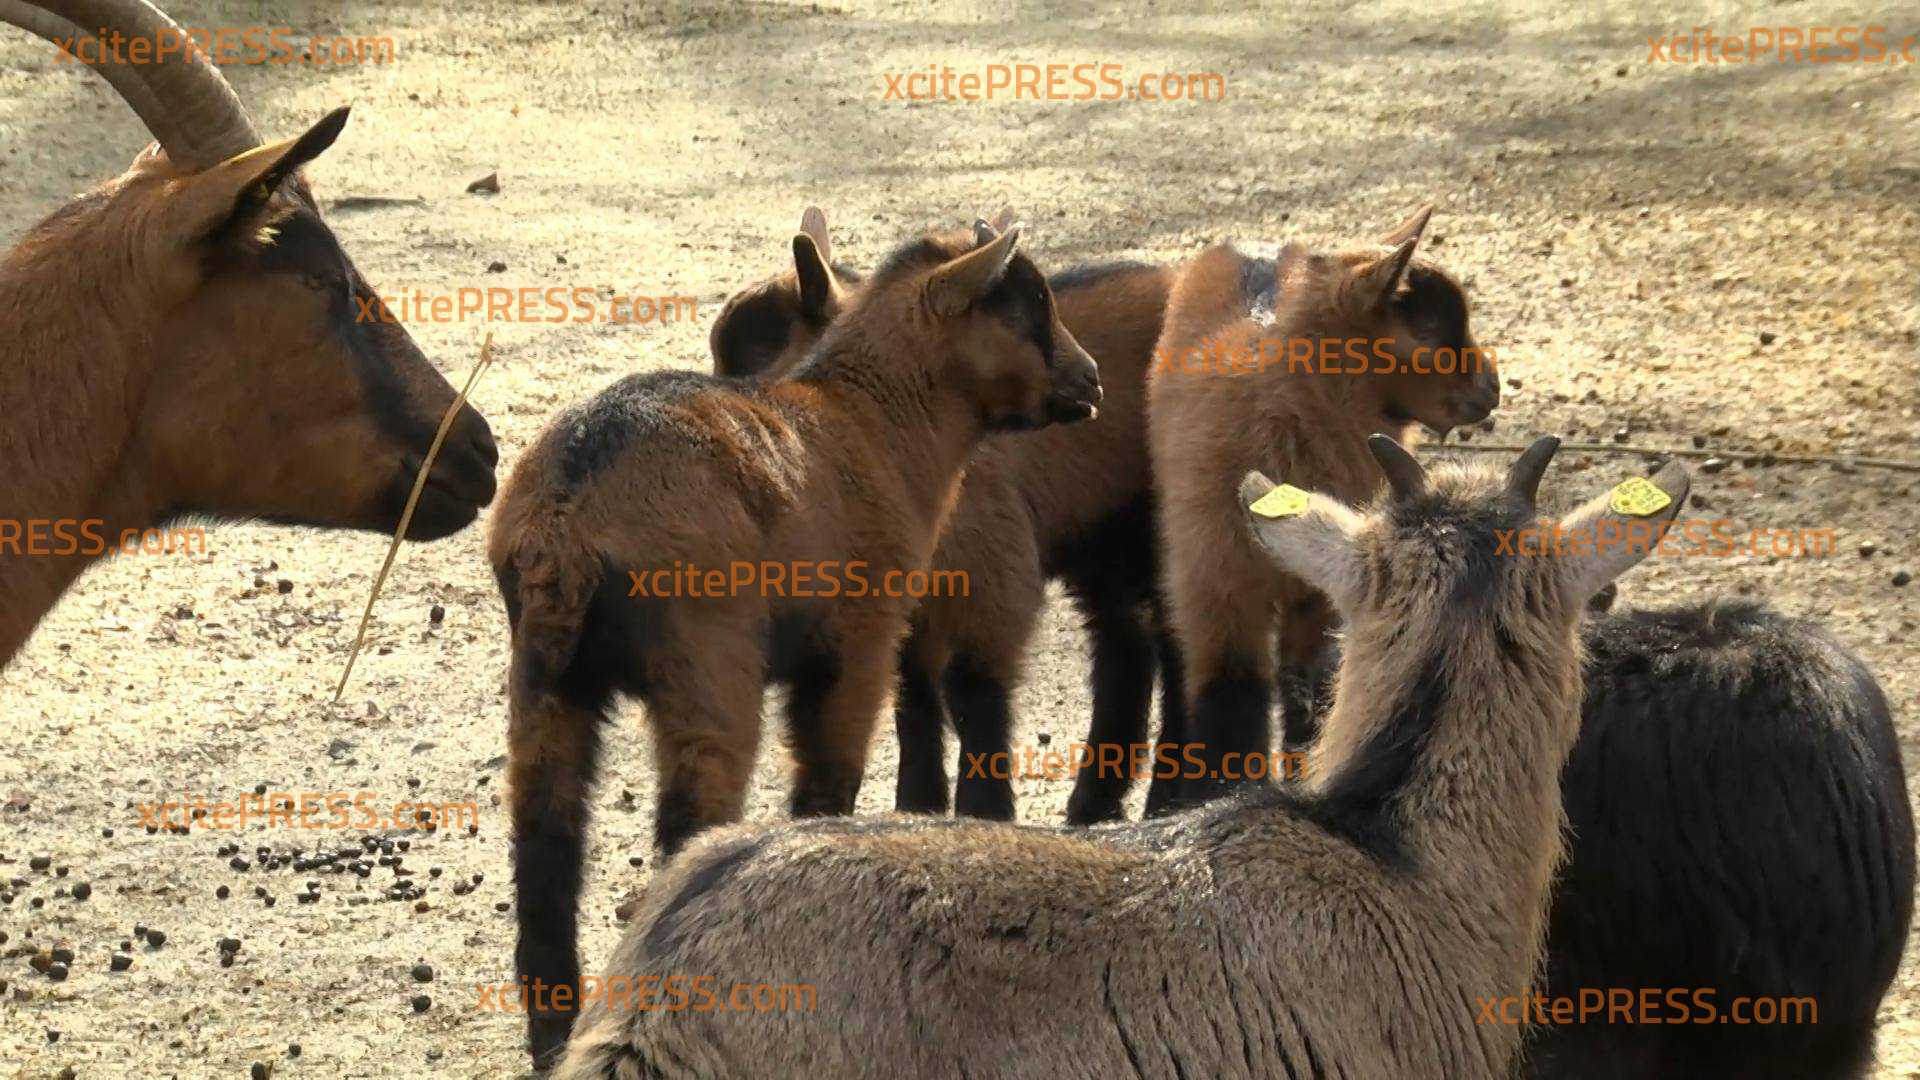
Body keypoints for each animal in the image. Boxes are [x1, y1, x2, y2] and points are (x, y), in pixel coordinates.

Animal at [487, 216, 1105, 1060]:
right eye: (1030, 305)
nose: (1093, 379)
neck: (871, 419)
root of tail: (566, 516)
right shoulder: (858, 647)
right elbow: (827, 784)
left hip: (545, 681)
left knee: (544, 836)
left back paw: (553, 1029)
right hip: (707, 661)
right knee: (688, 818)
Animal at [710, 205, 1175, 818]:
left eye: (752, 365)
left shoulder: (992, 581)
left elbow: (975, 695)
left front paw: (984, 809)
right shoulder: (908, 605)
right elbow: (914, 697)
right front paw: (918, 804)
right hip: (1103, 539)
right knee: (1126, 645)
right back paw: (1094, 803)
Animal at [1136, 203, 1497, 807]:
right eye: (1429, 334)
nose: (1493, 388)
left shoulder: (1322, 593)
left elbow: (1308, 693)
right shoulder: (1217, 590)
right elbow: (1230, 702)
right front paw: (1218, 794)